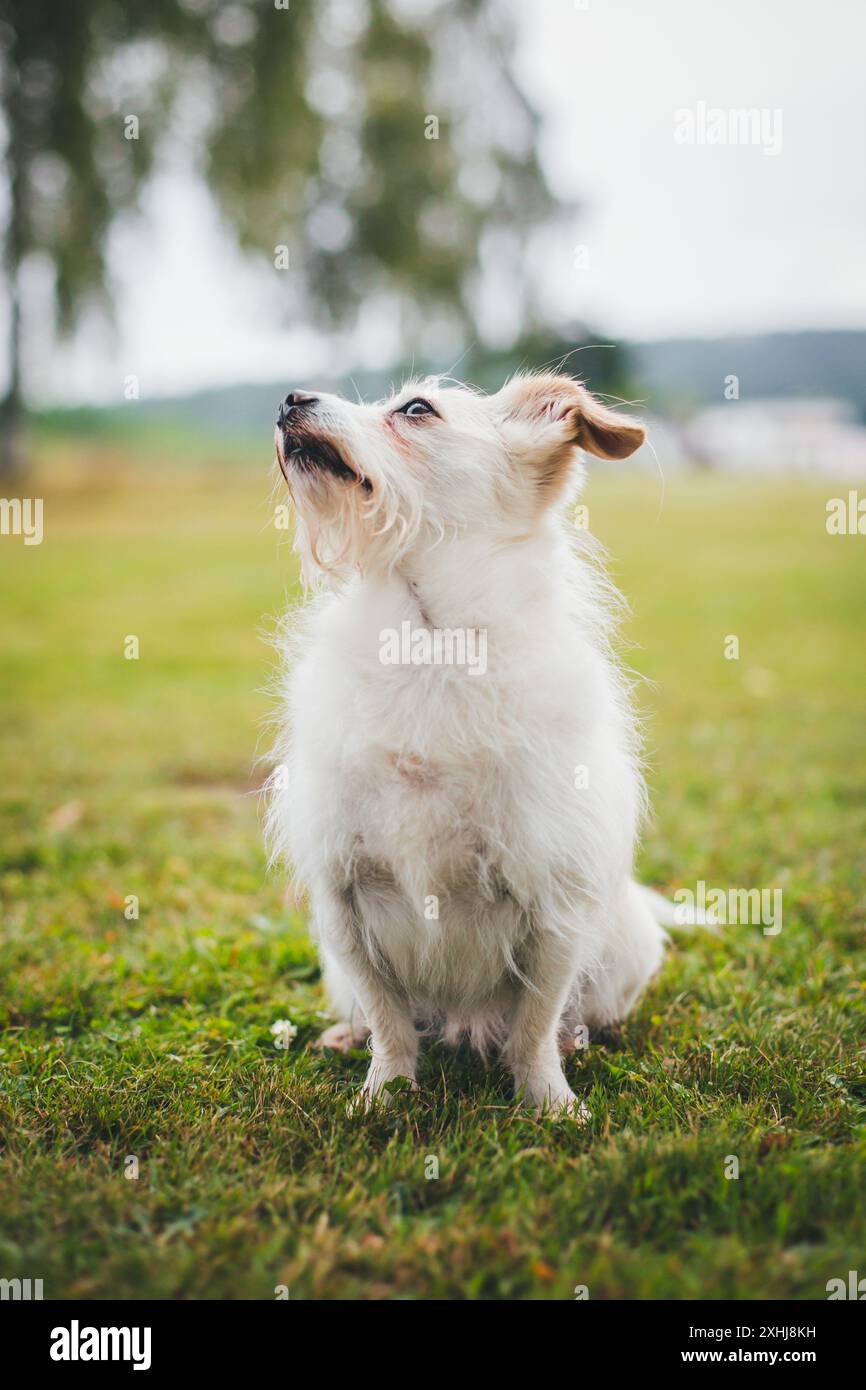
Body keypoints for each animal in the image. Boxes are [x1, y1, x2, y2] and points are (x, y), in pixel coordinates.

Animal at [268, 372, 675, 1117]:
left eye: (416, 410)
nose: (290, 399)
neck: (428, 646)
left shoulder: (556, 907)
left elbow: (534, 1026)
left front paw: (547, 1102)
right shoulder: (342, 902)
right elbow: (389, 1020)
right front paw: (384, 1094)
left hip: (626, 945)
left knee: (575, 1012)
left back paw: (578, 1040)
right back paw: (345, 1035)